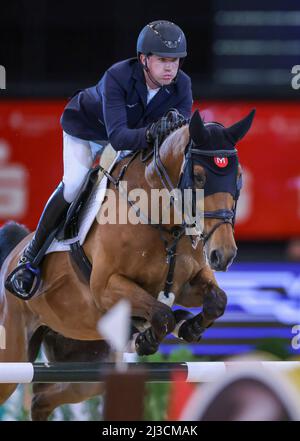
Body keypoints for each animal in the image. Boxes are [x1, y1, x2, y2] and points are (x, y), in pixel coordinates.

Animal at [0, 108, 255, 418]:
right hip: (13, 352)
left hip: (85, 362)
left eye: (238, 177)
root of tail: (12, 254)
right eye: (198, 177)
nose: (223, 254)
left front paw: (190, 327)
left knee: (42, 397)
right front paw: (150, 338)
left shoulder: (184, 284)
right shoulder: (106, 287)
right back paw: (24, 276)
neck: (160, 220)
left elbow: (217, 300)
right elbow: (161, 314)